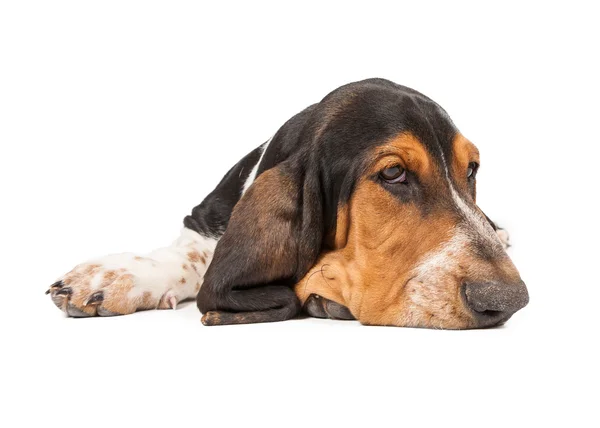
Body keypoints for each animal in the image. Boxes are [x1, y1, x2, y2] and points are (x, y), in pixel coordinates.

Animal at [47, 78, 528, 330]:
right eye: (393, 174)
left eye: (472, 169)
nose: (508, 299)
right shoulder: (203, 218)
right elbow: (189, 256)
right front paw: (114, 276)